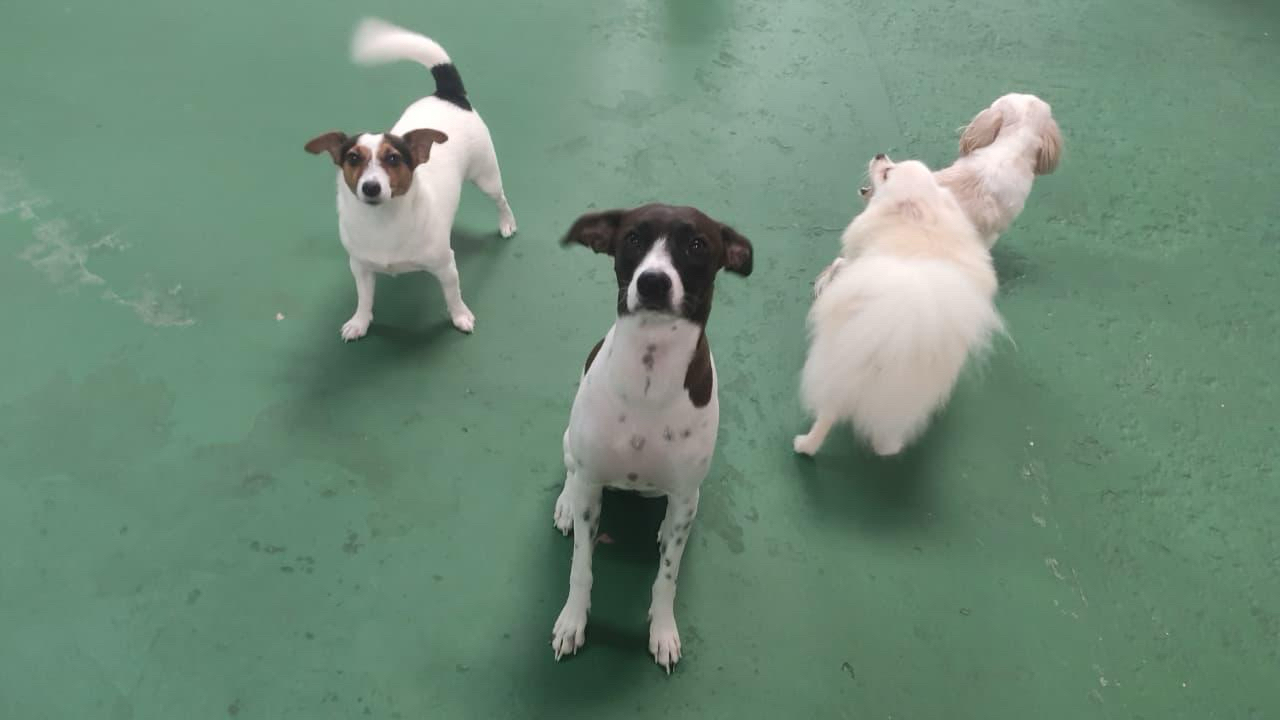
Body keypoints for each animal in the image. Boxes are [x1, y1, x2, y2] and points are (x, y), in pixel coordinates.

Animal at [305, 18, 516, 340]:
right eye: (352, 158)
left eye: (393, 158)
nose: (371, 187)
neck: (383, 222)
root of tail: (447, 94)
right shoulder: (360, 267)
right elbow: (364, 298)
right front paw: (360, 321)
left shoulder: (446, 266)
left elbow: (453, 295)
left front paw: (460, 317)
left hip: (485, 175)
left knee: (501, 200)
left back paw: (507, 224)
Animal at [551, 204, 753, 672]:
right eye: (633, 238)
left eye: (697, 244)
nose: (653, 282)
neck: (650, 370)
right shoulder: (592, 486)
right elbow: (581, 567)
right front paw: (572, 621)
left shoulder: (683, 492)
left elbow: (667, 577)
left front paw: (662, 631)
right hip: (572, 444)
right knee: (571, 472)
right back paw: (565, 503)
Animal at [794, 156, 1001, 457]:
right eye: (893, 162)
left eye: (887, 173)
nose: (880, 155)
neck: (924, 219)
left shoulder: (857, 258)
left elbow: (841, 264)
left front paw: (826, 279)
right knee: (886, 443)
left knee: (827, 415)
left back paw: (803, 445)